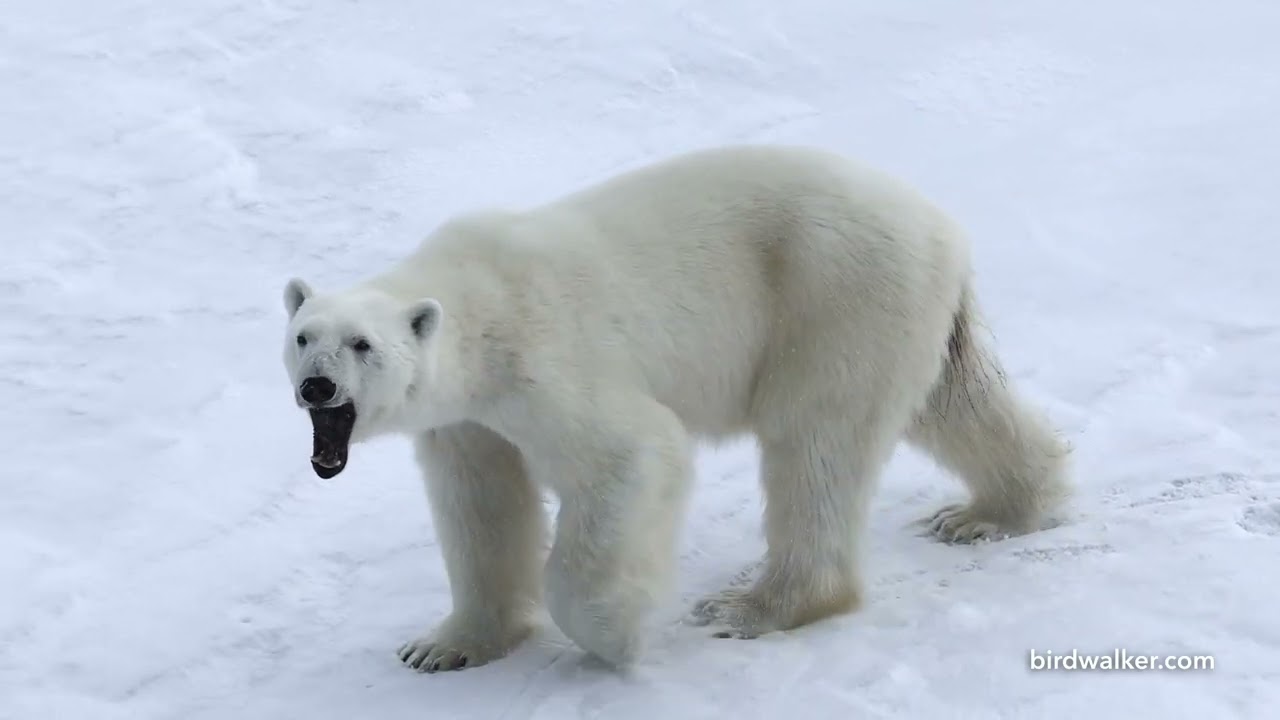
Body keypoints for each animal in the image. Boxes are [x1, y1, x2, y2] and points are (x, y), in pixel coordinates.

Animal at [279, 144, 1071, 673]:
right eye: (303, 337)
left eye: (362, 345)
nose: (316, 388)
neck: (476, 305)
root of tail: (944, 230)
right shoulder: (467, 419)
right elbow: (480, 505)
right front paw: (443, 646)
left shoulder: (543, 360)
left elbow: (630, 453)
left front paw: (616, 635)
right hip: (905, 312)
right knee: (953, 402)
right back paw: (991, 512)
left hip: (834, 296)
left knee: (814, 443)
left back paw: (755, 606)